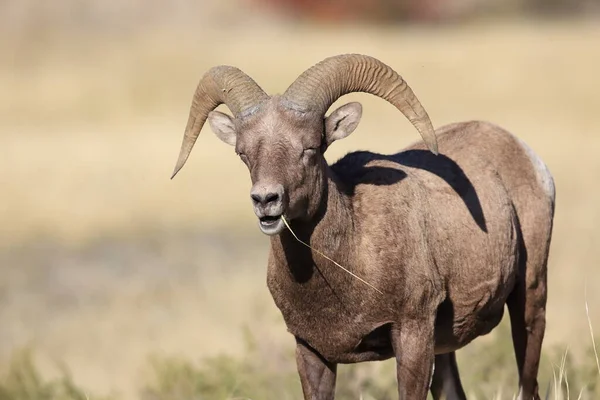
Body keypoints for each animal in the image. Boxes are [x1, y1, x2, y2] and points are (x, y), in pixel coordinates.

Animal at [171, 54, 556, 400]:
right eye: (243, 153)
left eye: (311, 148)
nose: (266, 200)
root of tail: (527, 156)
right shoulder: (311, 351)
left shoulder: (413, 336)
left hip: (529, 300)